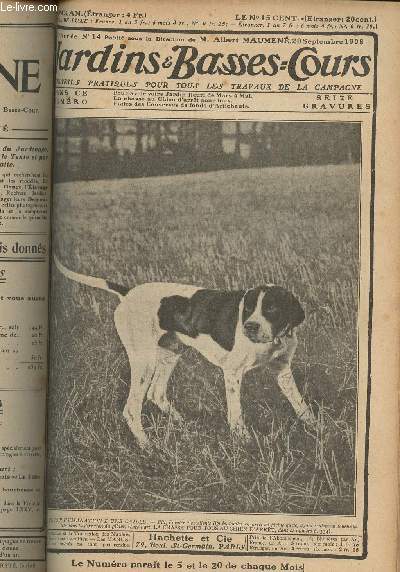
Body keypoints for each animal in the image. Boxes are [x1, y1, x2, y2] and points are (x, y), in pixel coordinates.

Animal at [54, 256, 316, 450]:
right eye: (249, 308)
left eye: (271, 308)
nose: (249, 326)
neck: (274, 338)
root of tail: (128, 293)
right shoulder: (232, 373)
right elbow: (236, 413)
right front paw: (243, 440)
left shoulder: (282, 371)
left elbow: (301, 405)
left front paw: (317, 429)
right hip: (144, 361)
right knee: (131, 408)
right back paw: (147, 446)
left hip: (170, 354)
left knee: (156, 393)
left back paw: (184, 427)